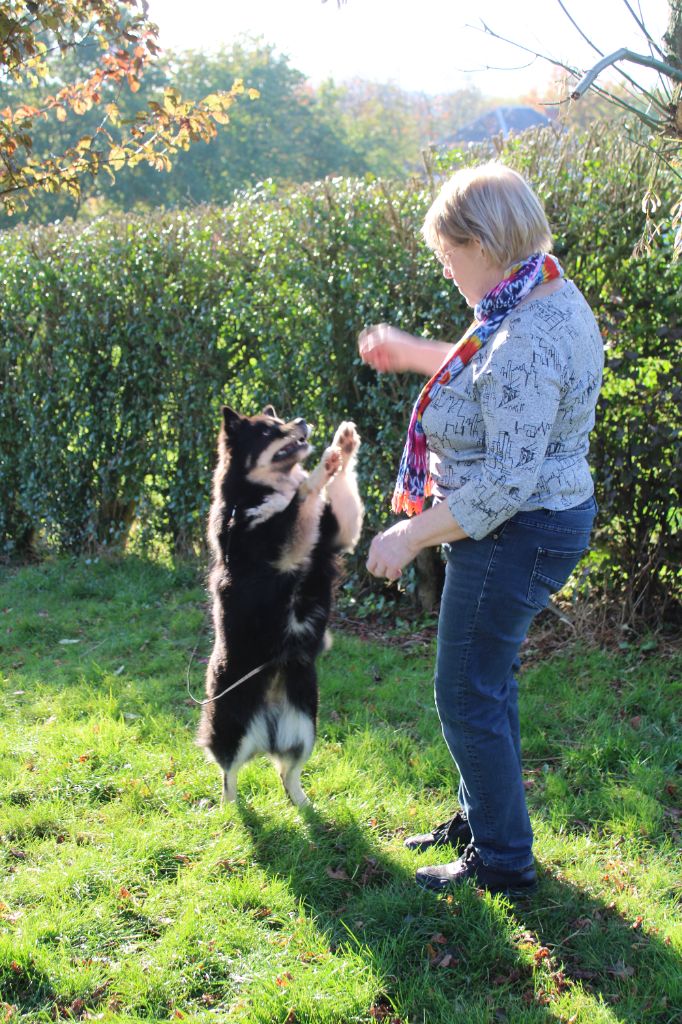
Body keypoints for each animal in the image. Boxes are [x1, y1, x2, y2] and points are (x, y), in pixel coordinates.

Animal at [197, 403, 360, 802]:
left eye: (282, 419)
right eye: (268, 432)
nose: (301, 421)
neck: (267, 491)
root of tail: (267, 722)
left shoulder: (337, 532)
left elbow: (337, 495)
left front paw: (345, 445)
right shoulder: (278, 547)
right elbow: (304, 493)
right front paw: (325, 463)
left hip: (305, 728)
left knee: (288, 773)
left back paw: (303, 804)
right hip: (229, 726)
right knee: (228, 771)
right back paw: (229, 808)